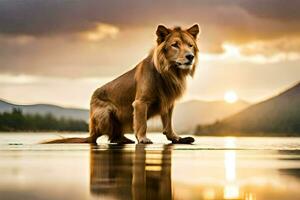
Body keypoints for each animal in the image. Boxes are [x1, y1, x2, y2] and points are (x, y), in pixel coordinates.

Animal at [43, 24, 200, 145]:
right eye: (175, 45)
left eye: (190, 45)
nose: (190, 56)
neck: (169, 71)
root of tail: (91, 132)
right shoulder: (140, 103)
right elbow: (142, 123)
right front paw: (143, 139)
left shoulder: (168, 102)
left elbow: (168, 124)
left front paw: (176, 138)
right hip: (106, 113)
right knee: (105, 137)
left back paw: (125, 139)